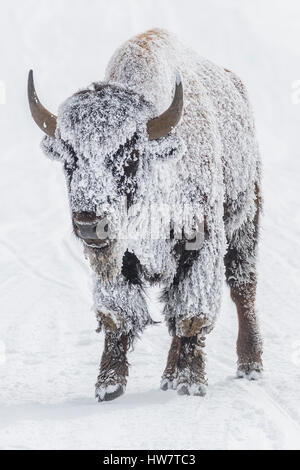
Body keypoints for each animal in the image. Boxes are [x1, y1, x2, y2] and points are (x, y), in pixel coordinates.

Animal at [28, 28, 262, 400]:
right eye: (69, 159)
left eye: (131, 156)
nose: (89, 222)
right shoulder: (118, 260)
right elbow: (118, 315)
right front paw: (108, 385)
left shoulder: (202, 245)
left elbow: (191, 314)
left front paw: (191, 383)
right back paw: (168, 376)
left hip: (245, 220)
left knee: (242, 286)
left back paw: (249, 365)